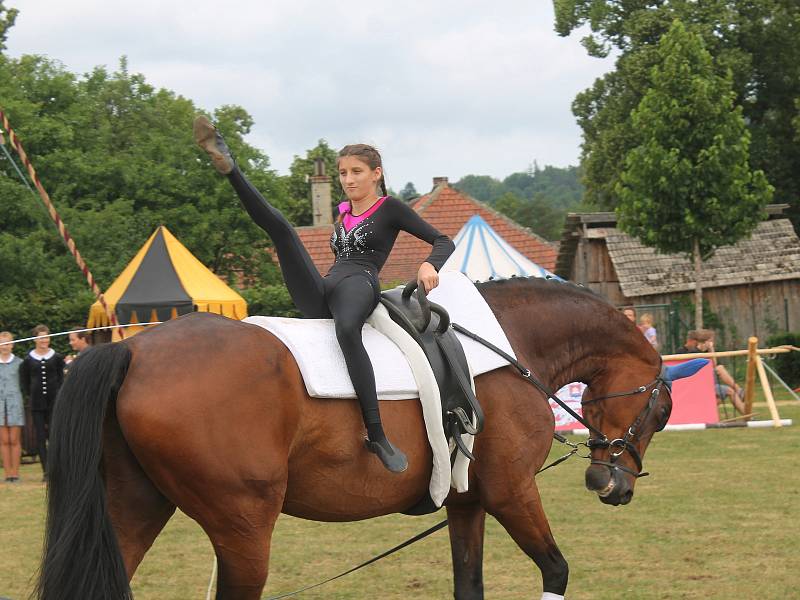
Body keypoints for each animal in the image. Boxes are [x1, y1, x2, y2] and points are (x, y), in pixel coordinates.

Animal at [37, 278, 676, 600]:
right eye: (662, 411)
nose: (613, 484)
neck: (510, 343)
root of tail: (132, 350)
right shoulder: (511, 490)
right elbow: (557, 571)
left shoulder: (468, 503)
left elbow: (468, 585)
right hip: (242, 529)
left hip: (134, 507)